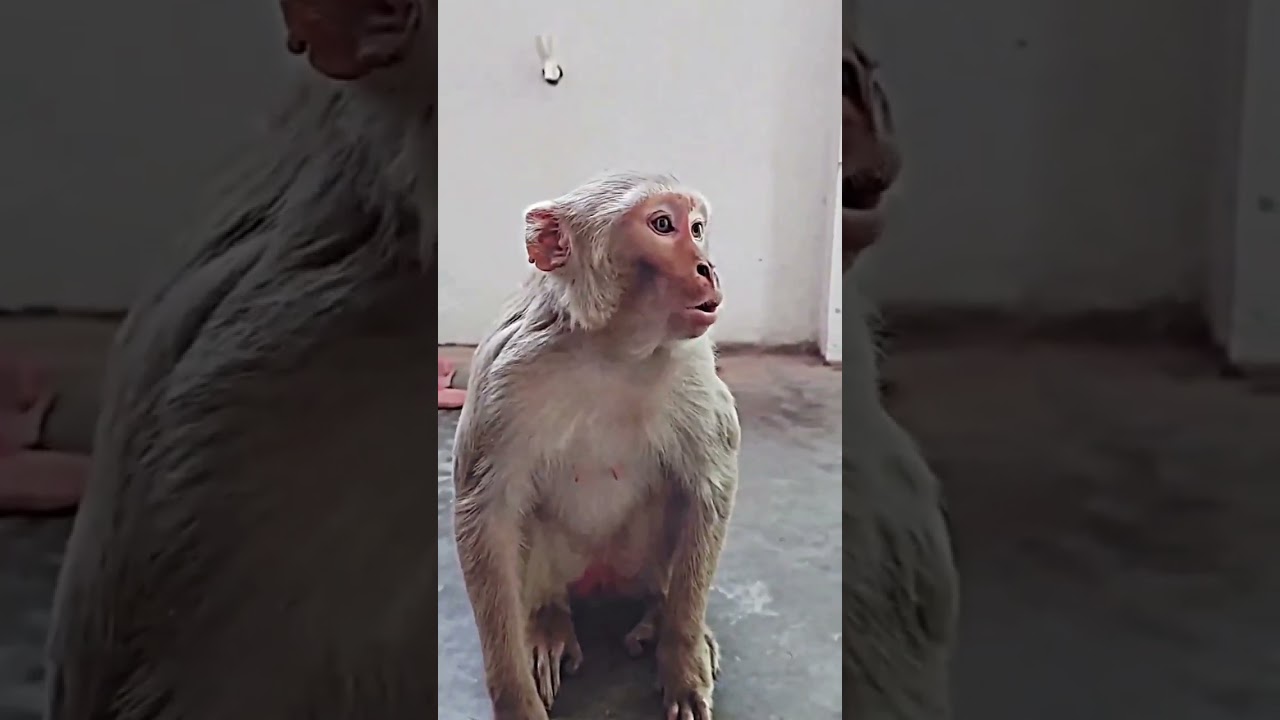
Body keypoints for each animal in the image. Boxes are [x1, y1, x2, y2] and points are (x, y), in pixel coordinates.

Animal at [451, 171, 741, 720]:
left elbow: (709, 484)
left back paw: (659, 613)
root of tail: (601, 577)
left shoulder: (693, 364)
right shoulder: (503, 375)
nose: (708, 266)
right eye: (663, 225)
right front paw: (515, 697)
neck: (615, 350)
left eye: (697, 228)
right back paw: (548, 620)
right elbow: (487, 514)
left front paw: (682, 656)